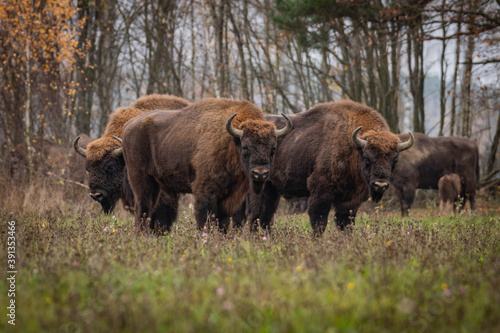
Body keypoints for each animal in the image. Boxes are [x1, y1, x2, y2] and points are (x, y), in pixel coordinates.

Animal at [121, 97, 292, 232]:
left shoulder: (230, 196)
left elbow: (223, 222)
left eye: (273, 148)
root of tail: (128, 126)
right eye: (245, 146)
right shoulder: (204, 191)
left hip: (157, 185)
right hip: (141, 180)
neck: (231, 141)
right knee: (143, 209)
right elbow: (205, 219)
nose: (260, 173)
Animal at [243, 100, 414, 235]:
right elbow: (319, 222)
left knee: (266, 216)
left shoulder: (351, 200)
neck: (353, 146)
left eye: (395, 160)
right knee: (255, 215)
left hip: (272, 190)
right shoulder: (321, 192)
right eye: (367, 158)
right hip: (259, 188)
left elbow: (346, 224)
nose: (380, 185)